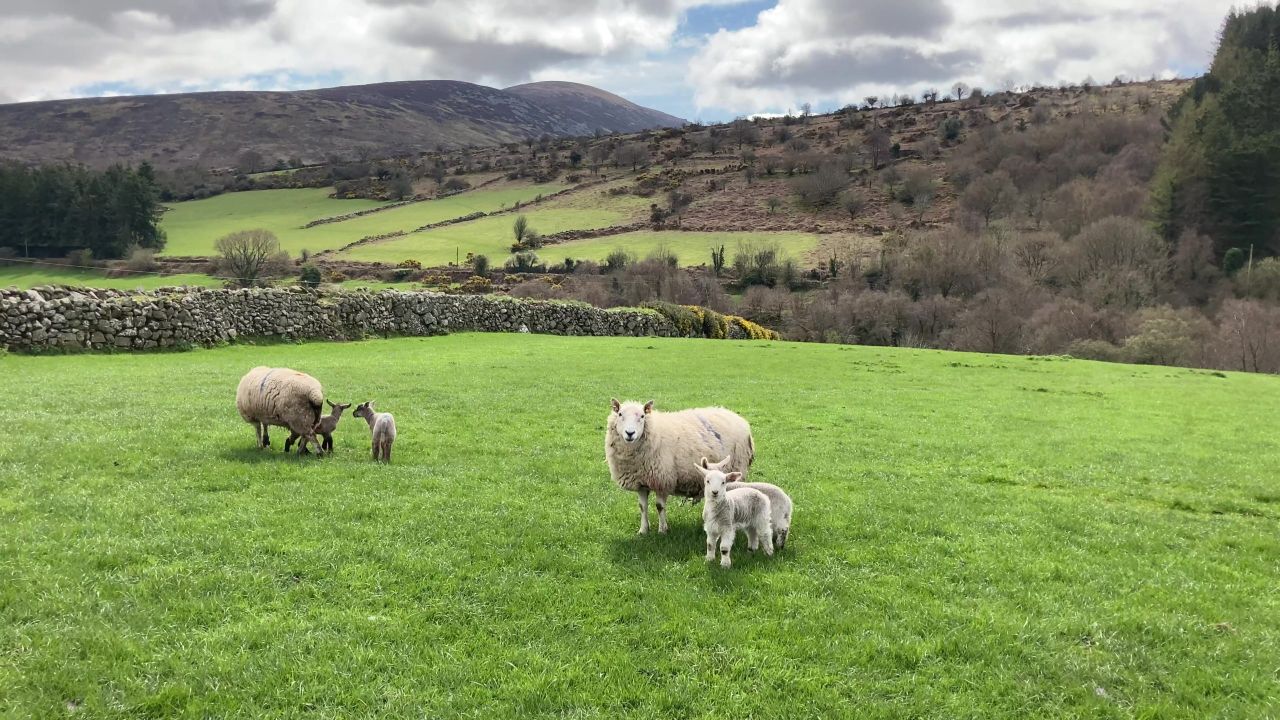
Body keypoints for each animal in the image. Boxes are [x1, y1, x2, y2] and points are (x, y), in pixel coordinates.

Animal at [605, 398, 754, 535]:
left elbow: (659, 506)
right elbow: (642, 507)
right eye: (620, 414)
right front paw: (643, 530)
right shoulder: (641, 482)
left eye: (642, 416)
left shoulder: (662, 480)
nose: (630, 433)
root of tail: (740, 420)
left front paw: (662, 530)